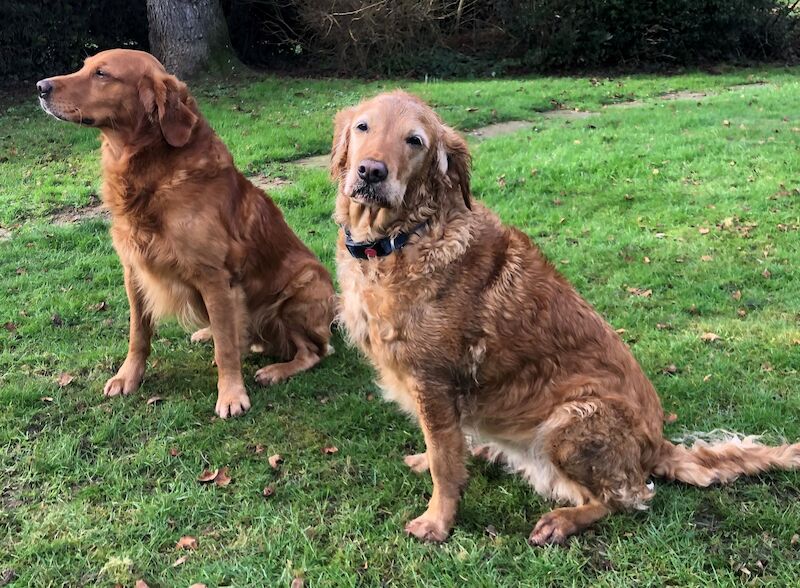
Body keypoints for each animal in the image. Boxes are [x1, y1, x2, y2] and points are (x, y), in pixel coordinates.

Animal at [38, 50, 334, 418]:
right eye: (84, 66)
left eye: (102, 74)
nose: (40, 87)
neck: (151, 172)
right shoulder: (134, 271)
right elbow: (139, 334)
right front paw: (128, 377)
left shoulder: (214, 276)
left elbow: (226, 348)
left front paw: (231, 394)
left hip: (302, 288)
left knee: (313, 352)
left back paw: (276, 370)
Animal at [332, 89, 800, 544]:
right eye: (363, 127)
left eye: (415, 141)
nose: (371, 172)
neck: (404, 238)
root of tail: (658, 445)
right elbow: (442, 452)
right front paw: (429, 462)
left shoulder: (434, 383)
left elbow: (446, 468)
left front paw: (437, 522)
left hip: (570, 419)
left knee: (626, 497)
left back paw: (562, 521)